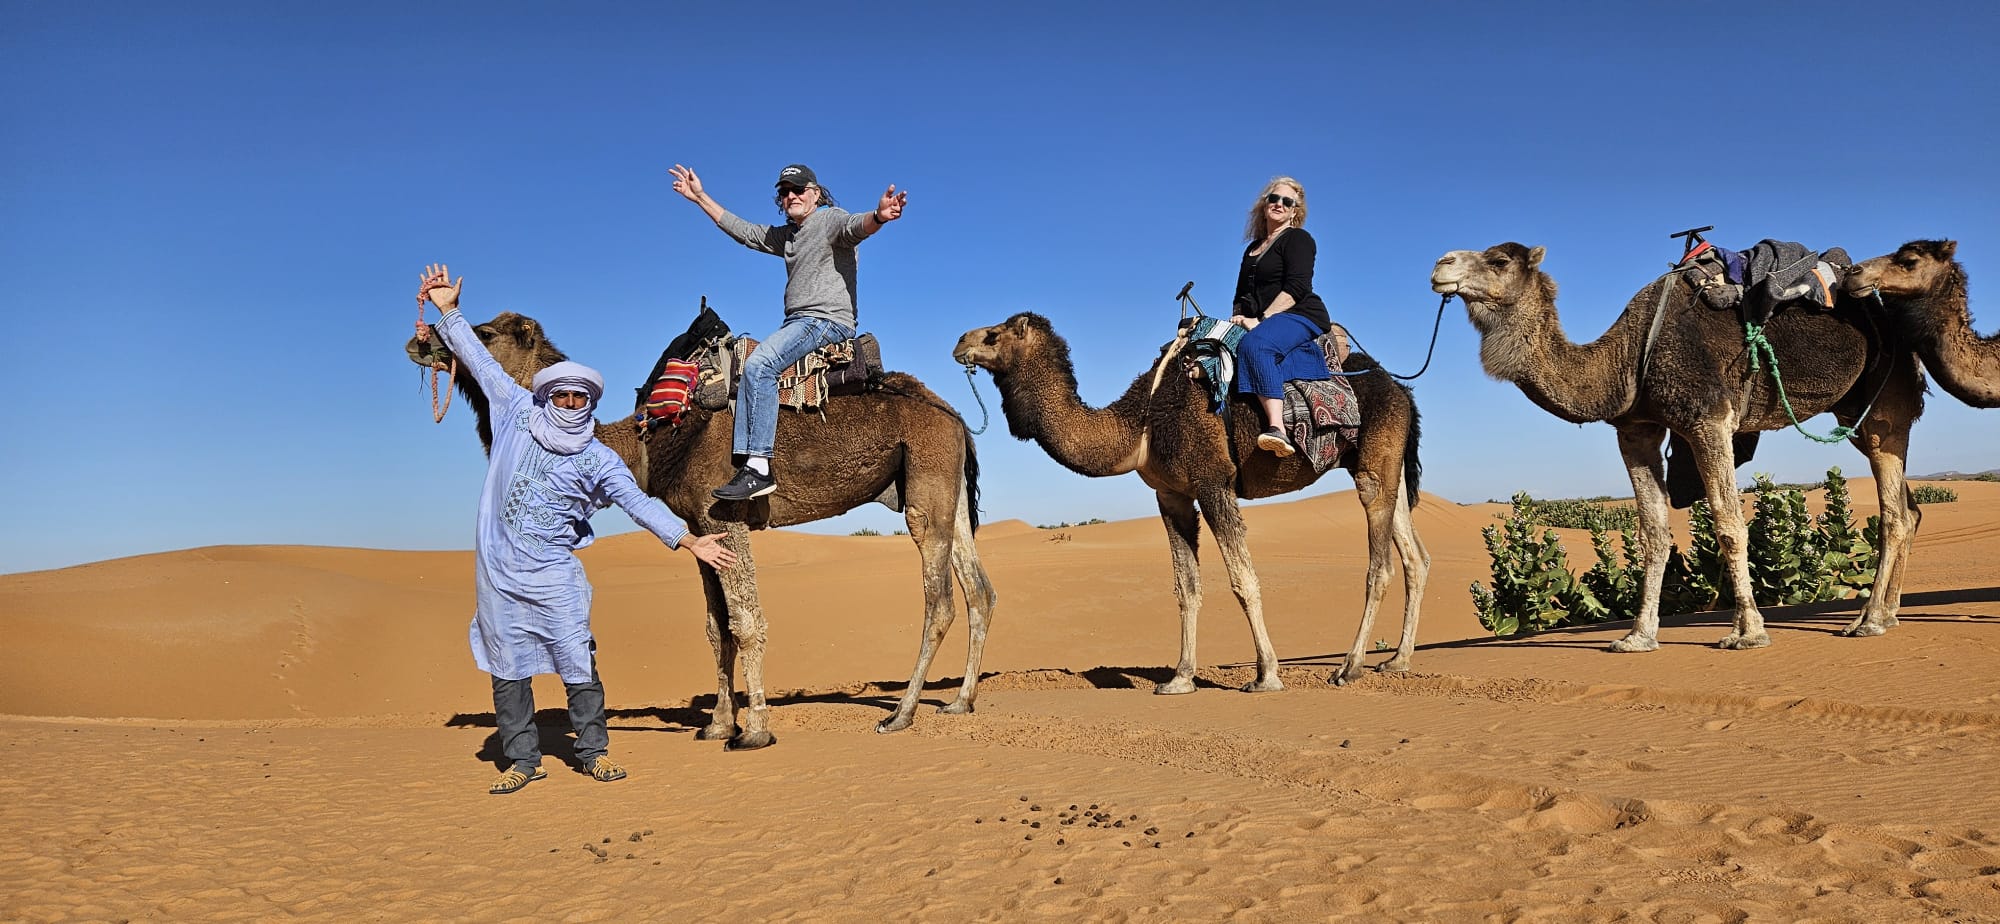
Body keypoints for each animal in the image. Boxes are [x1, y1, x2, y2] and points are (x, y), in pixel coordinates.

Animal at [406, 310, 997, 749]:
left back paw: (900, 714)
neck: (652, 438)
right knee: (979, 591)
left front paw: (755, 730)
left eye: (483, 334)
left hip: (925, 481)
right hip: (942, 488)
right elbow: (717, 630)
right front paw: (717, 724)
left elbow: (747, 621)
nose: (419, 340)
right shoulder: (696, 529)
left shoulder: (723, 515)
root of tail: (953, 415)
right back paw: (959, 701)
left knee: (940, 600)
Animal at [952, 312, 1429, 692]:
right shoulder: (1172, 495)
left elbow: (1243, 580)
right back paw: (1397, 660)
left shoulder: (1212, 481)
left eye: (993, 334)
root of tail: (1402, 392)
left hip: (1374, 461)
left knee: (1380, 566)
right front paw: (1180, 677)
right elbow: (1187, 588)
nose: (959, 342)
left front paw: (1267, 675)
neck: (1141, 424)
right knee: (1414, 557)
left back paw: (1350, 667)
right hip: (1384, 468)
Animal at [1432, 243, 1925, 650]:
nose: (1441, 264)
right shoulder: (1636, 429)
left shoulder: (1709, 419)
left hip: (1885, 402)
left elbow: (1729, 525)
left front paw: (1748, 632)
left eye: (1499, 260)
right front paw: (1637, 636)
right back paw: (1887, 614)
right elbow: (1653, 532)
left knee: (1893, 510)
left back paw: (1869, 620)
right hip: (1852, 414)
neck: (1624, 359)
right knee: (1908, 507)